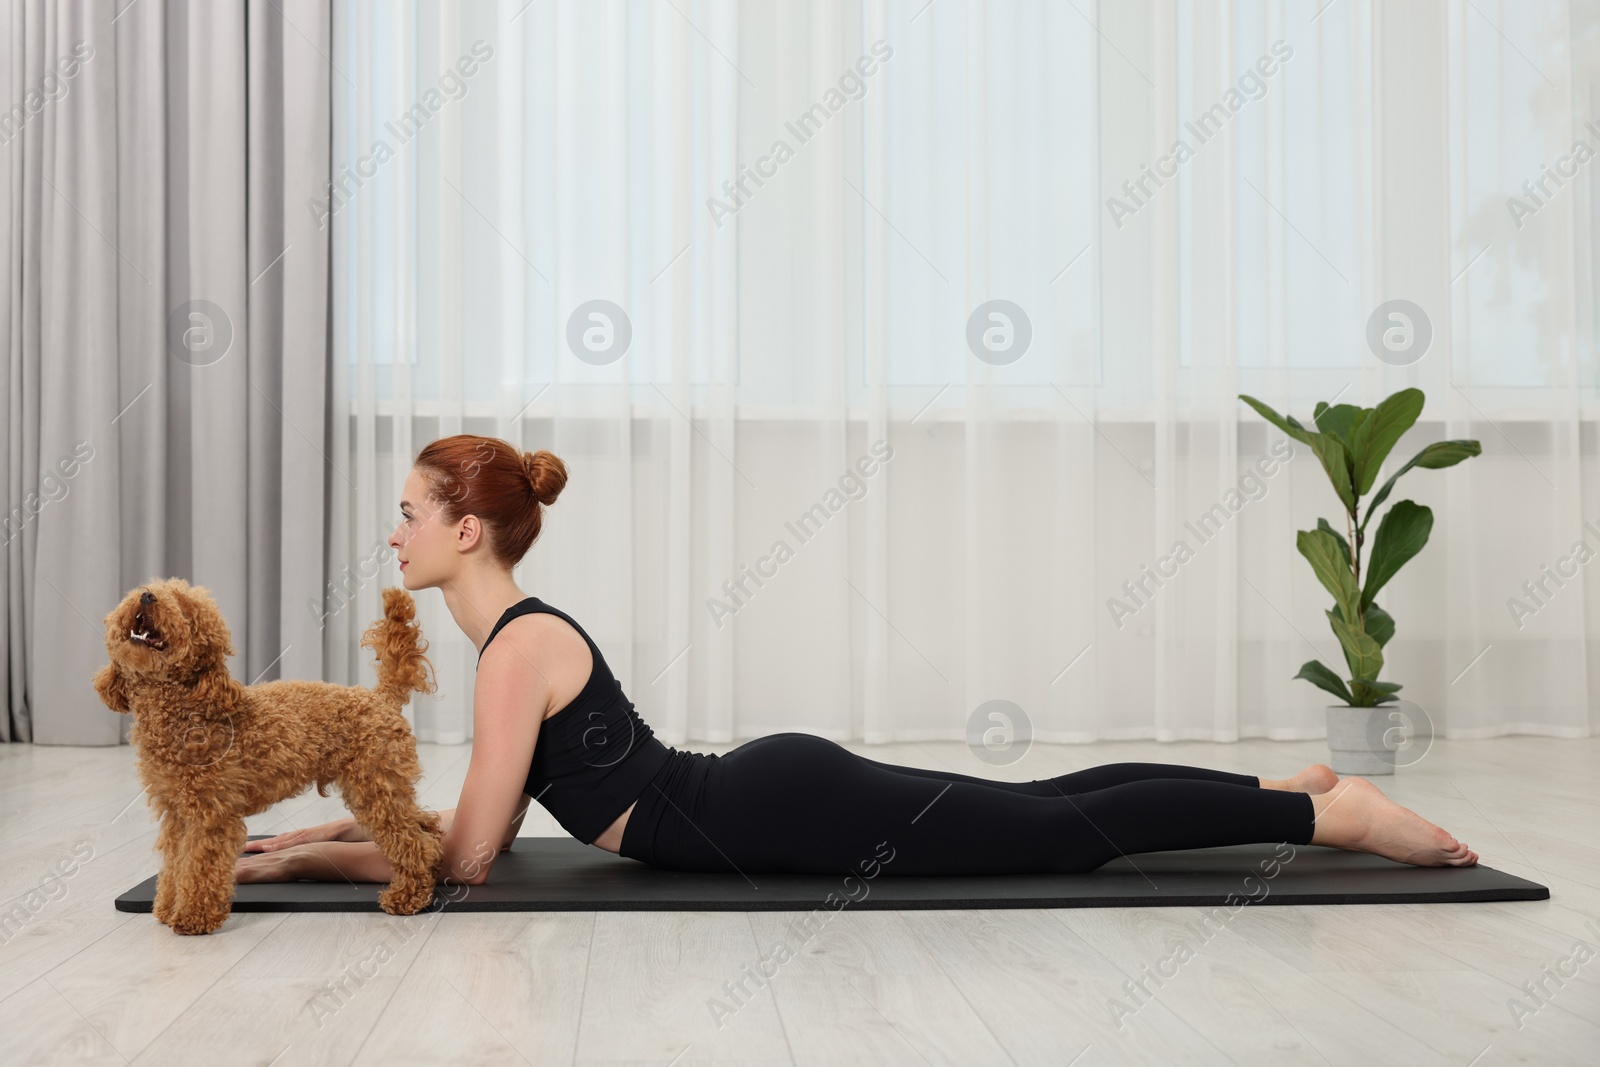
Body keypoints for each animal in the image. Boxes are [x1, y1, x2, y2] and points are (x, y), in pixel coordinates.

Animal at [92, 579, 444, 940]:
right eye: (148, 588)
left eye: (184, 608)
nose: (147, 596)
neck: (187, 709)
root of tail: (381, 697)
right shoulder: (176, 813)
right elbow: (177, 863)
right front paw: (166, 907)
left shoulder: (211, 814)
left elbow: (200, 865)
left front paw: (193, 916)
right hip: (386, 784)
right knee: (425, 824)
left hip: (374, 785)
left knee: (414, 842)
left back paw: (408, 896)